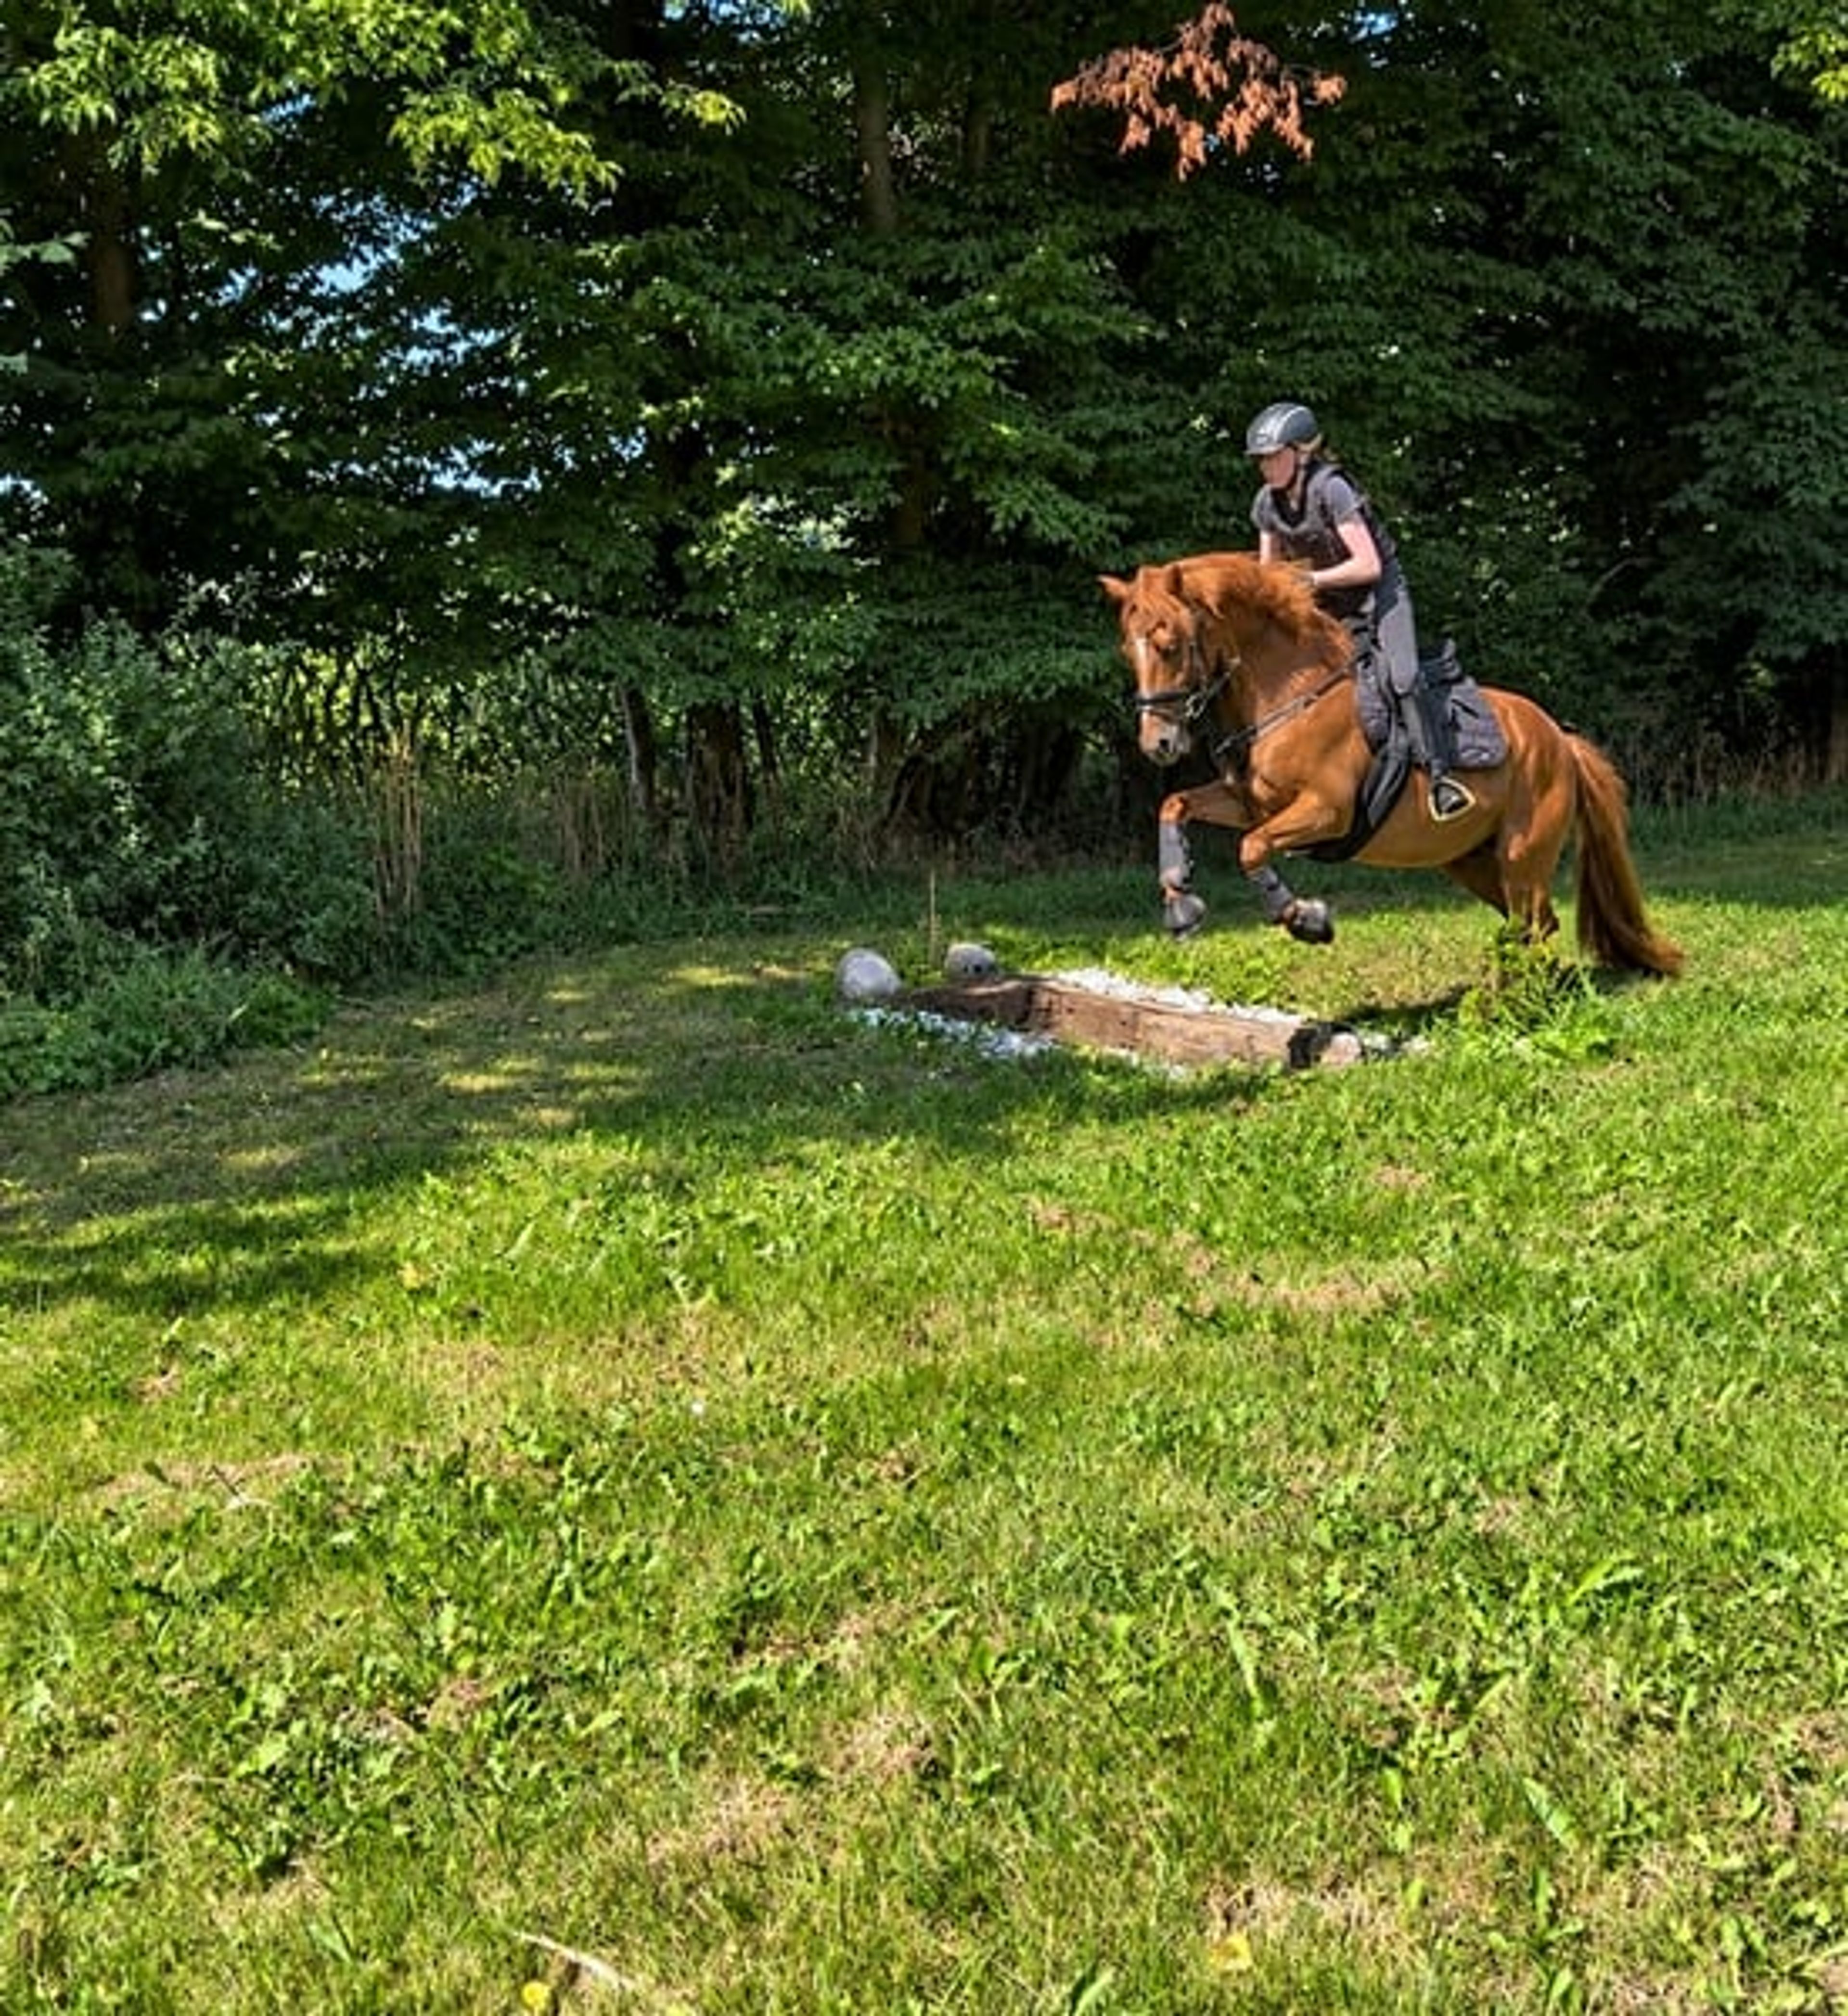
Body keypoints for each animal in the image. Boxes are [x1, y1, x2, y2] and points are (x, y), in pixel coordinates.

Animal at [1099, 552, 1683, 977]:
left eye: (1171, 644)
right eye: (1128, 651)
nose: (1159, 744)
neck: (1286, 696)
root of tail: (1561, 741)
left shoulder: (1326, 810)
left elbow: (1252, 847)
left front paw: (1307, 920)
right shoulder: (1249, 802)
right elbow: (1175, 805)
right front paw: (1180, 903)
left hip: (1524, 853)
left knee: (1530, 922)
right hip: (1471, 859)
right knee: (1537, 924)